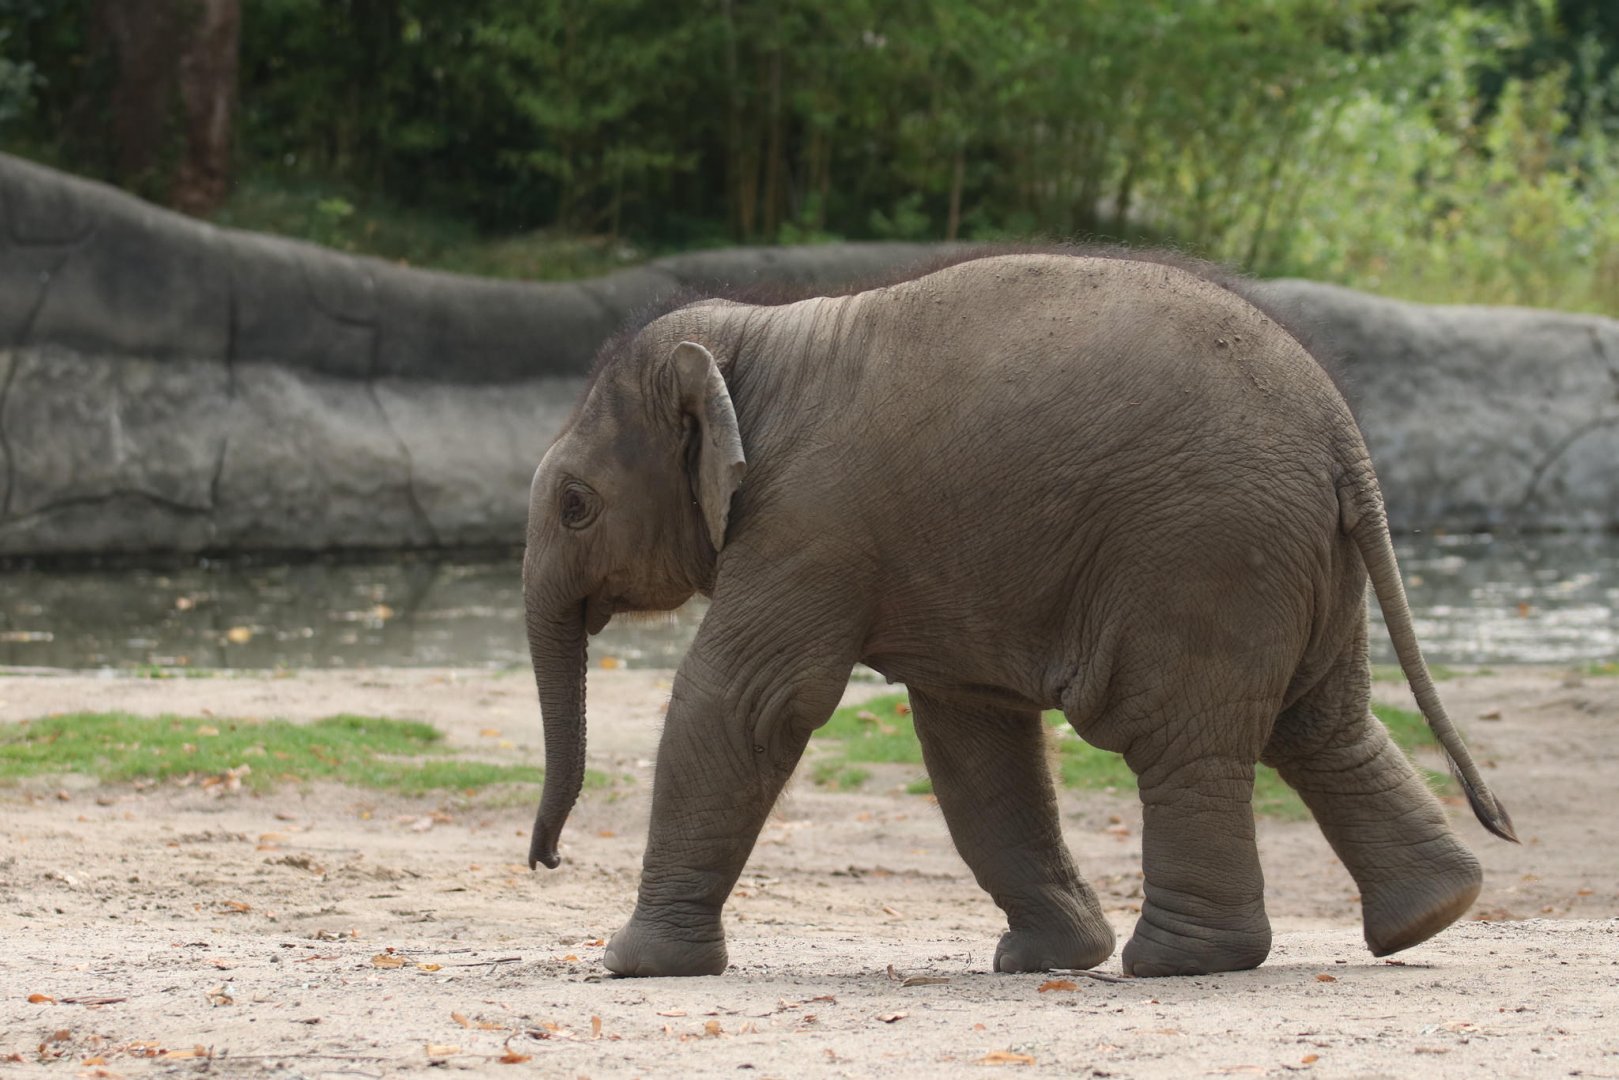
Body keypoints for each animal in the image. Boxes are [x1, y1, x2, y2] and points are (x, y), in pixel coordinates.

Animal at [520, 250, 1516, 979]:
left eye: (575, 505)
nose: (546, 861)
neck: (752, 339)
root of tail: (1344, 438)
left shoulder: (807, 522)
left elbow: (750, 700)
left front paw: (631, 964)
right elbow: (972, 738)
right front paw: (1050, 958)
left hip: (1207, 554)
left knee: (1181, 737)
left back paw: (1182, 964)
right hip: (1302, 560)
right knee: (1319, 726)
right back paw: (1431, 913)